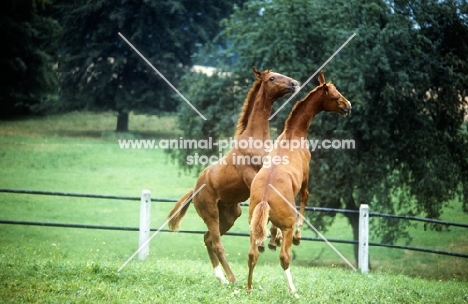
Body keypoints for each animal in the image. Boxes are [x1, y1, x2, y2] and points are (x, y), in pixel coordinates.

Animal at [168, 67, 298, 284]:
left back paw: (221, 278)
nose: (294, 83)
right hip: (211, 213)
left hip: (229, 215)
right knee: (217, 244)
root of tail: (195, 190)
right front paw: (270, 241)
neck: (255, 140)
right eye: (272, 78)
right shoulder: (252, 178)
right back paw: (232, 278)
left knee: (208, 239)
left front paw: (275, 238)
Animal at [249, 71, 352, 294]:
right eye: (334, 95)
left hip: (253, 226)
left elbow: (272, 229)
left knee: (253, 254)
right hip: (286, 227)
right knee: (284, 258)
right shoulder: (305, 178)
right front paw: (297, 236)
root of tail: (264, 199)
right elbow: (305, 199)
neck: (292, 135)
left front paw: (272, 240)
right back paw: (293, 291)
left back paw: (248, 287)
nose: (348, 105)